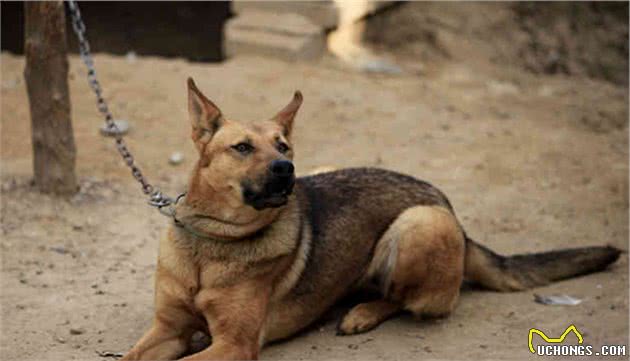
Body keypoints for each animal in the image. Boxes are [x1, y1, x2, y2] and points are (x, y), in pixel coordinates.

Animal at [121, 77, 624, 358]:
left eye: (283, 146)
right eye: (242, 147)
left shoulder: (233, 344)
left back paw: (362, 313)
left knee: (406, 298)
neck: (212, 243)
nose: (286, 169)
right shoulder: (168, 329)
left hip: (418, 225)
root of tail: (452, 212)